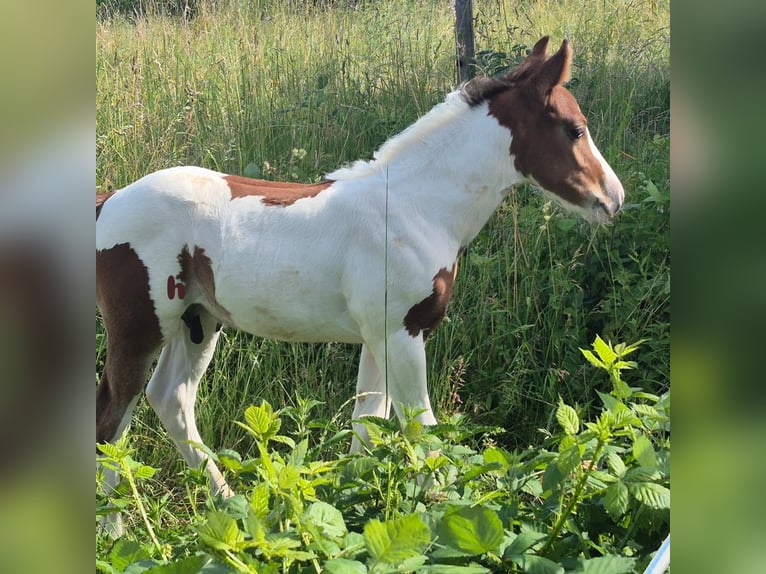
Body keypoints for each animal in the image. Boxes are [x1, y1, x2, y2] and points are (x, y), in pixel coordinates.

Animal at [96, 36, 624, 507]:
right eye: (575, 129)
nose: (613, 198)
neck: (414, 207)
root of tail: (109, 201)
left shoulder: (377, 336)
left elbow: (367, 426)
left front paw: (349, 508)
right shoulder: (402, 333)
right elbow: (422, 428)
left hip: (199, 321)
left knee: (170, 399)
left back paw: (230, 504)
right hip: (140, 325)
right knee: (109, 419)